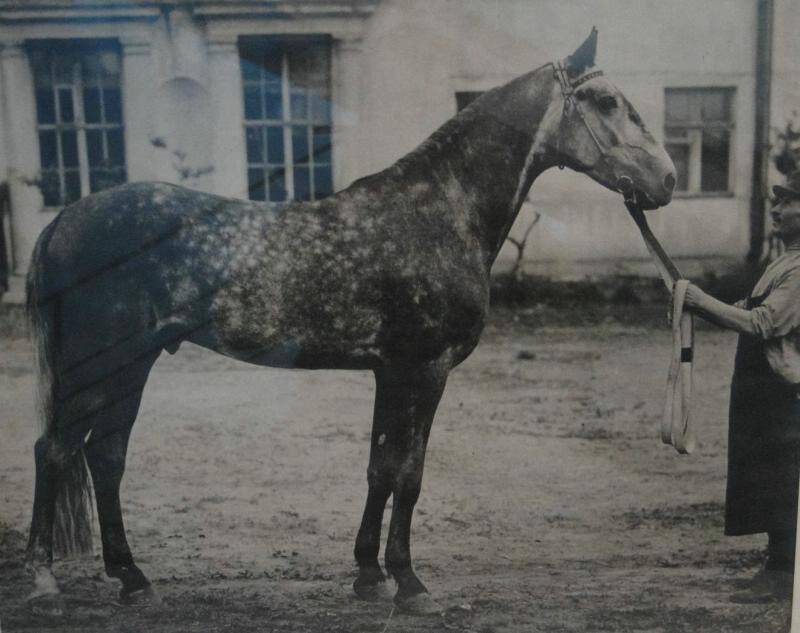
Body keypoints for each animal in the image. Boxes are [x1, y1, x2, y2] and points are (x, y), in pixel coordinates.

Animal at [23, 27, 676, 616]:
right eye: (607, 101)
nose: (666, 180)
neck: (440, 210)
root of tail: (63, 221)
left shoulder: (390, 371)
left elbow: (379, 469)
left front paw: (368, 574)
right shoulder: (426, 369)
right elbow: (409, 473)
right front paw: (410, 583)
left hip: (131, 366)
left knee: (105, 457)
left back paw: (133, 579)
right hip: (100, 365)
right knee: (55, 451)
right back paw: (45, 582)